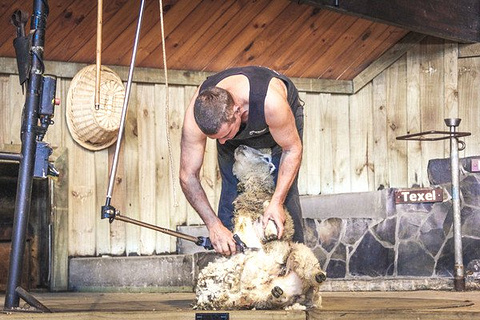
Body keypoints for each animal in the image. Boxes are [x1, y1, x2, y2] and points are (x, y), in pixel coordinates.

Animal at [195, 145, 326, 310]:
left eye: (266, 158)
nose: (241, 146)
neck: (254, 189)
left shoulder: (285, 223)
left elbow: (270, 210)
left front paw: (270, 231)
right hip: (251, 293)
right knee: (261, 299)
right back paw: (275, 294)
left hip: (300, 251)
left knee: (311, 272)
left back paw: (318, 275)